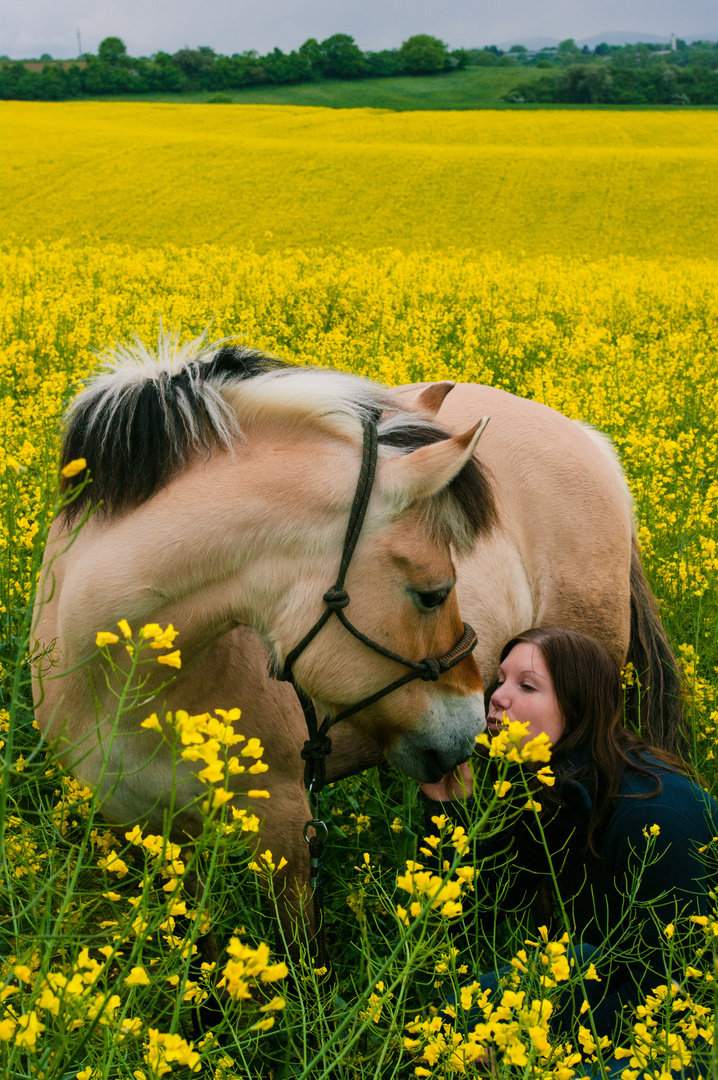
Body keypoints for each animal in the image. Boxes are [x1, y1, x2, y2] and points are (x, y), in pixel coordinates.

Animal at [35, 332, 682, 941]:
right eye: (434, 593)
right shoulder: (147, 832)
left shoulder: (285, 831)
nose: (472, 721)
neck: (123, 681)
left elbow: (299, 961)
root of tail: (584, 437)